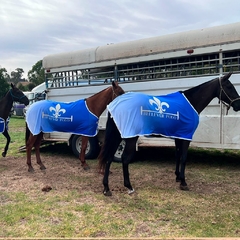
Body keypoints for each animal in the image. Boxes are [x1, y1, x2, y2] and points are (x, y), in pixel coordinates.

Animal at [98, 72, 240, 195]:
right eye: (229, 86)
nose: (238, 105)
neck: (190, 103)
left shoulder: (178, 136)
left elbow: (178, 155)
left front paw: (177, 177)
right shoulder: (185, 137)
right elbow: (184, 157)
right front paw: (183, 182)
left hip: (118, 136)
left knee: (109, 158)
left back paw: (106, 188)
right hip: (130, 137)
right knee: (124, 159)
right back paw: (128, 186)